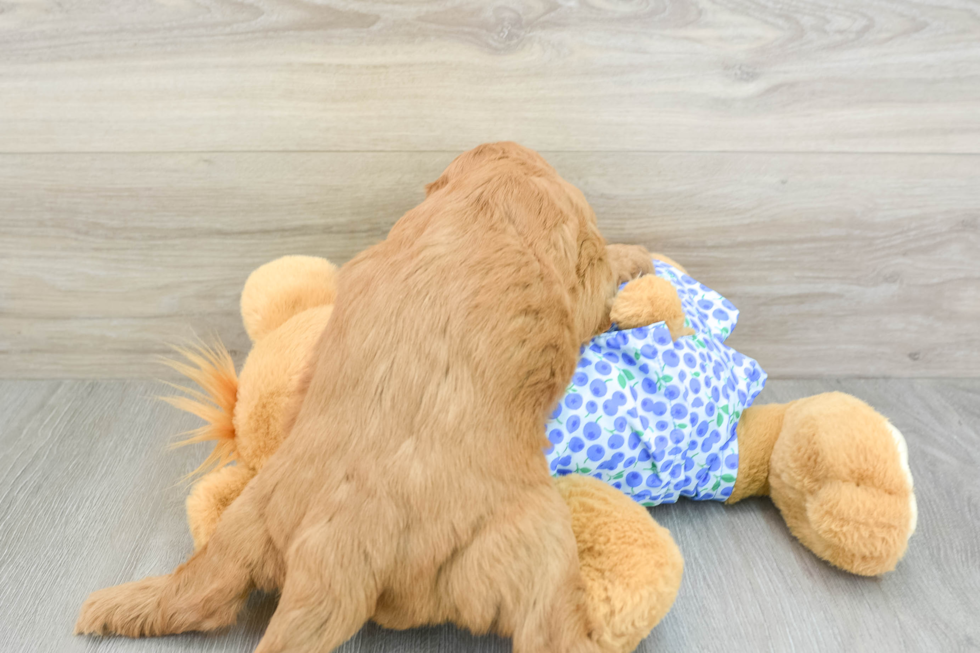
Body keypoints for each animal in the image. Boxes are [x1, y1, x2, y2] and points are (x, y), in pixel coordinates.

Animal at [76, 143, 656, 652]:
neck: (488, 191)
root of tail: (335, 547)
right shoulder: (578, 277)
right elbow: (600, 279)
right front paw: (634, 256)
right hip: (536, 542)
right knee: (549, 630)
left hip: (242, 526)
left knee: (198, 595)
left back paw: (116, 607)